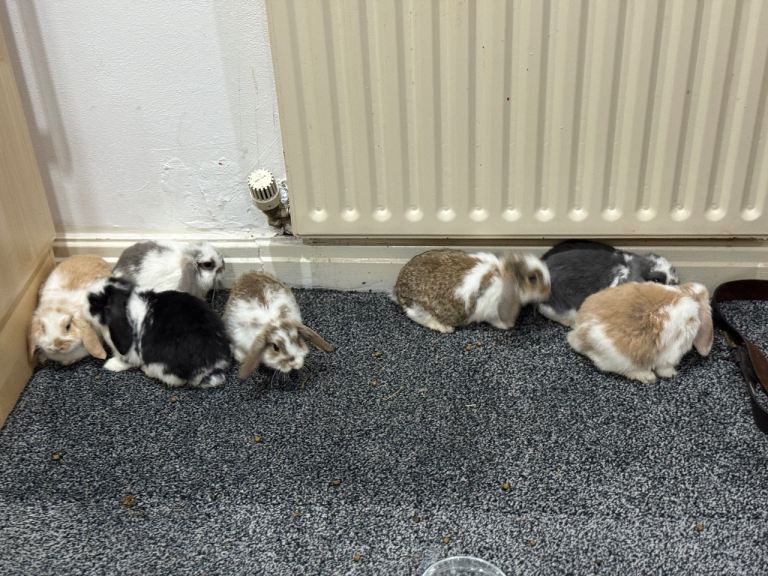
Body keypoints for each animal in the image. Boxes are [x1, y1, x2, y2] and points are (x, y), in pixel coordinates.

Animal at [86, 277, 231, 388]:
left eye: (96, 302)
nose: (85, 295)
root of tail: (209, 365)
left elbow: (125, 360)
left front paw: (110, 365)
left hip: (160, 364)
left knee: (174, 380)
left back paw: (146, 370)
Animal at [393, 249, 551, 333]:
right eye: (532, 278)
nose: (548, 291)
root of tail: (398, 287)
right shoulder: (491, 312)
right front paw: (507, 326)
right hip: (419, 308)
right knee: (418, 317)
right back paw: (445, 327)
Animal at [567, 281, 713, 384]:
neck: (687, 294)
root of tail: (578, 333)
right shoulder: (672, 350)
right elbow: (664, 366)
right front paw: (671, 373)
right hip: (618, 358)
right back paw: (647, 376)